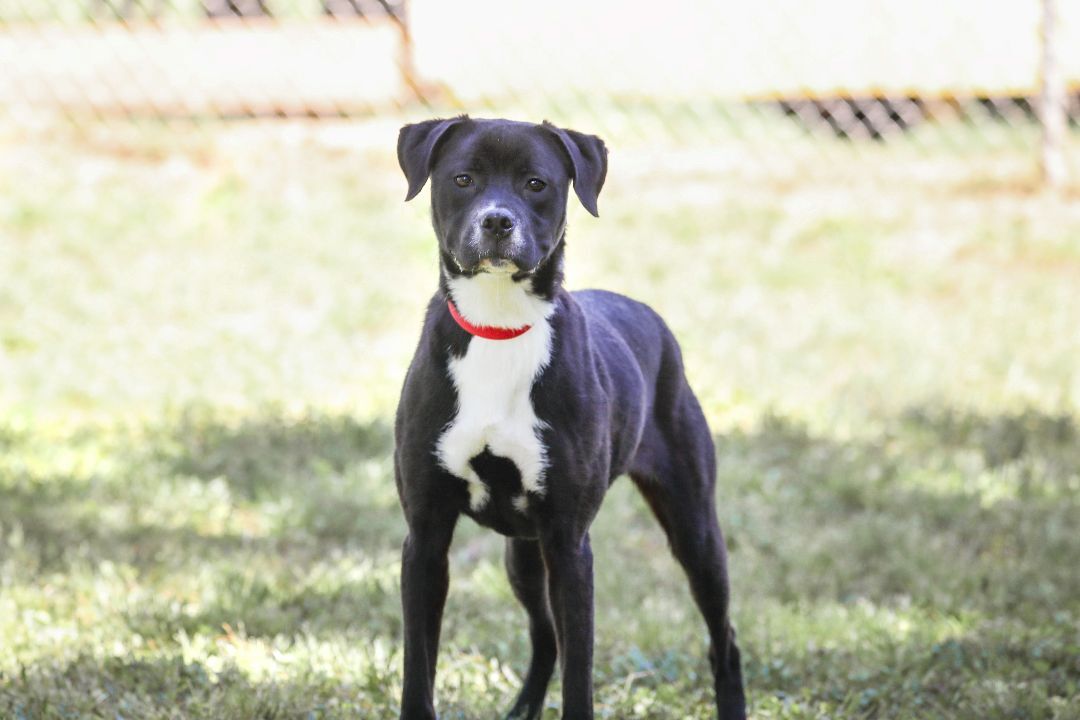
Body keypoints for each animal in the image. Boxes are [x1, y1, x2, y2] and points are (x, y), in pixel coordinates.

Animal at [395, 115, 743, 716]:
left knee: (724, 639)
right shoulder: (425, 537)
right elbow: (419, 670)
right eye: (462, 178)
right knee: (544, 634)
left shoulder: (570, 544)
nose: (497, 221)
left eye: (536, 183)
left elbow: (580, 670)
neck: (499, 326)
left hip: (695, 529)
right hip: (523, 556)